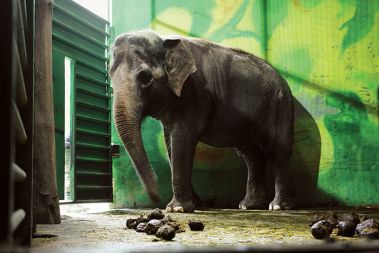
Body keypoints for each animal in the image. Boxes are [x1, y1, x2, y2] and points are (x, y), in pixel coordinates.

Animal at [110, 29, 296, 211]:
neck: (166, 38)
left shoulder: (194, 91)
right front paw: (195, 205)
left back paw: (278, 206)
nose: (155, 198)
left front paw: (177, 209)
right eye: (110, 78)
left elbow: (182, 138)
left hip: (281, 105)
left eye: (145, 78)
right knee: (252, 155)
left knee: (278, 150)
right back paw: (249, 205)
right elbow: (170, 142)